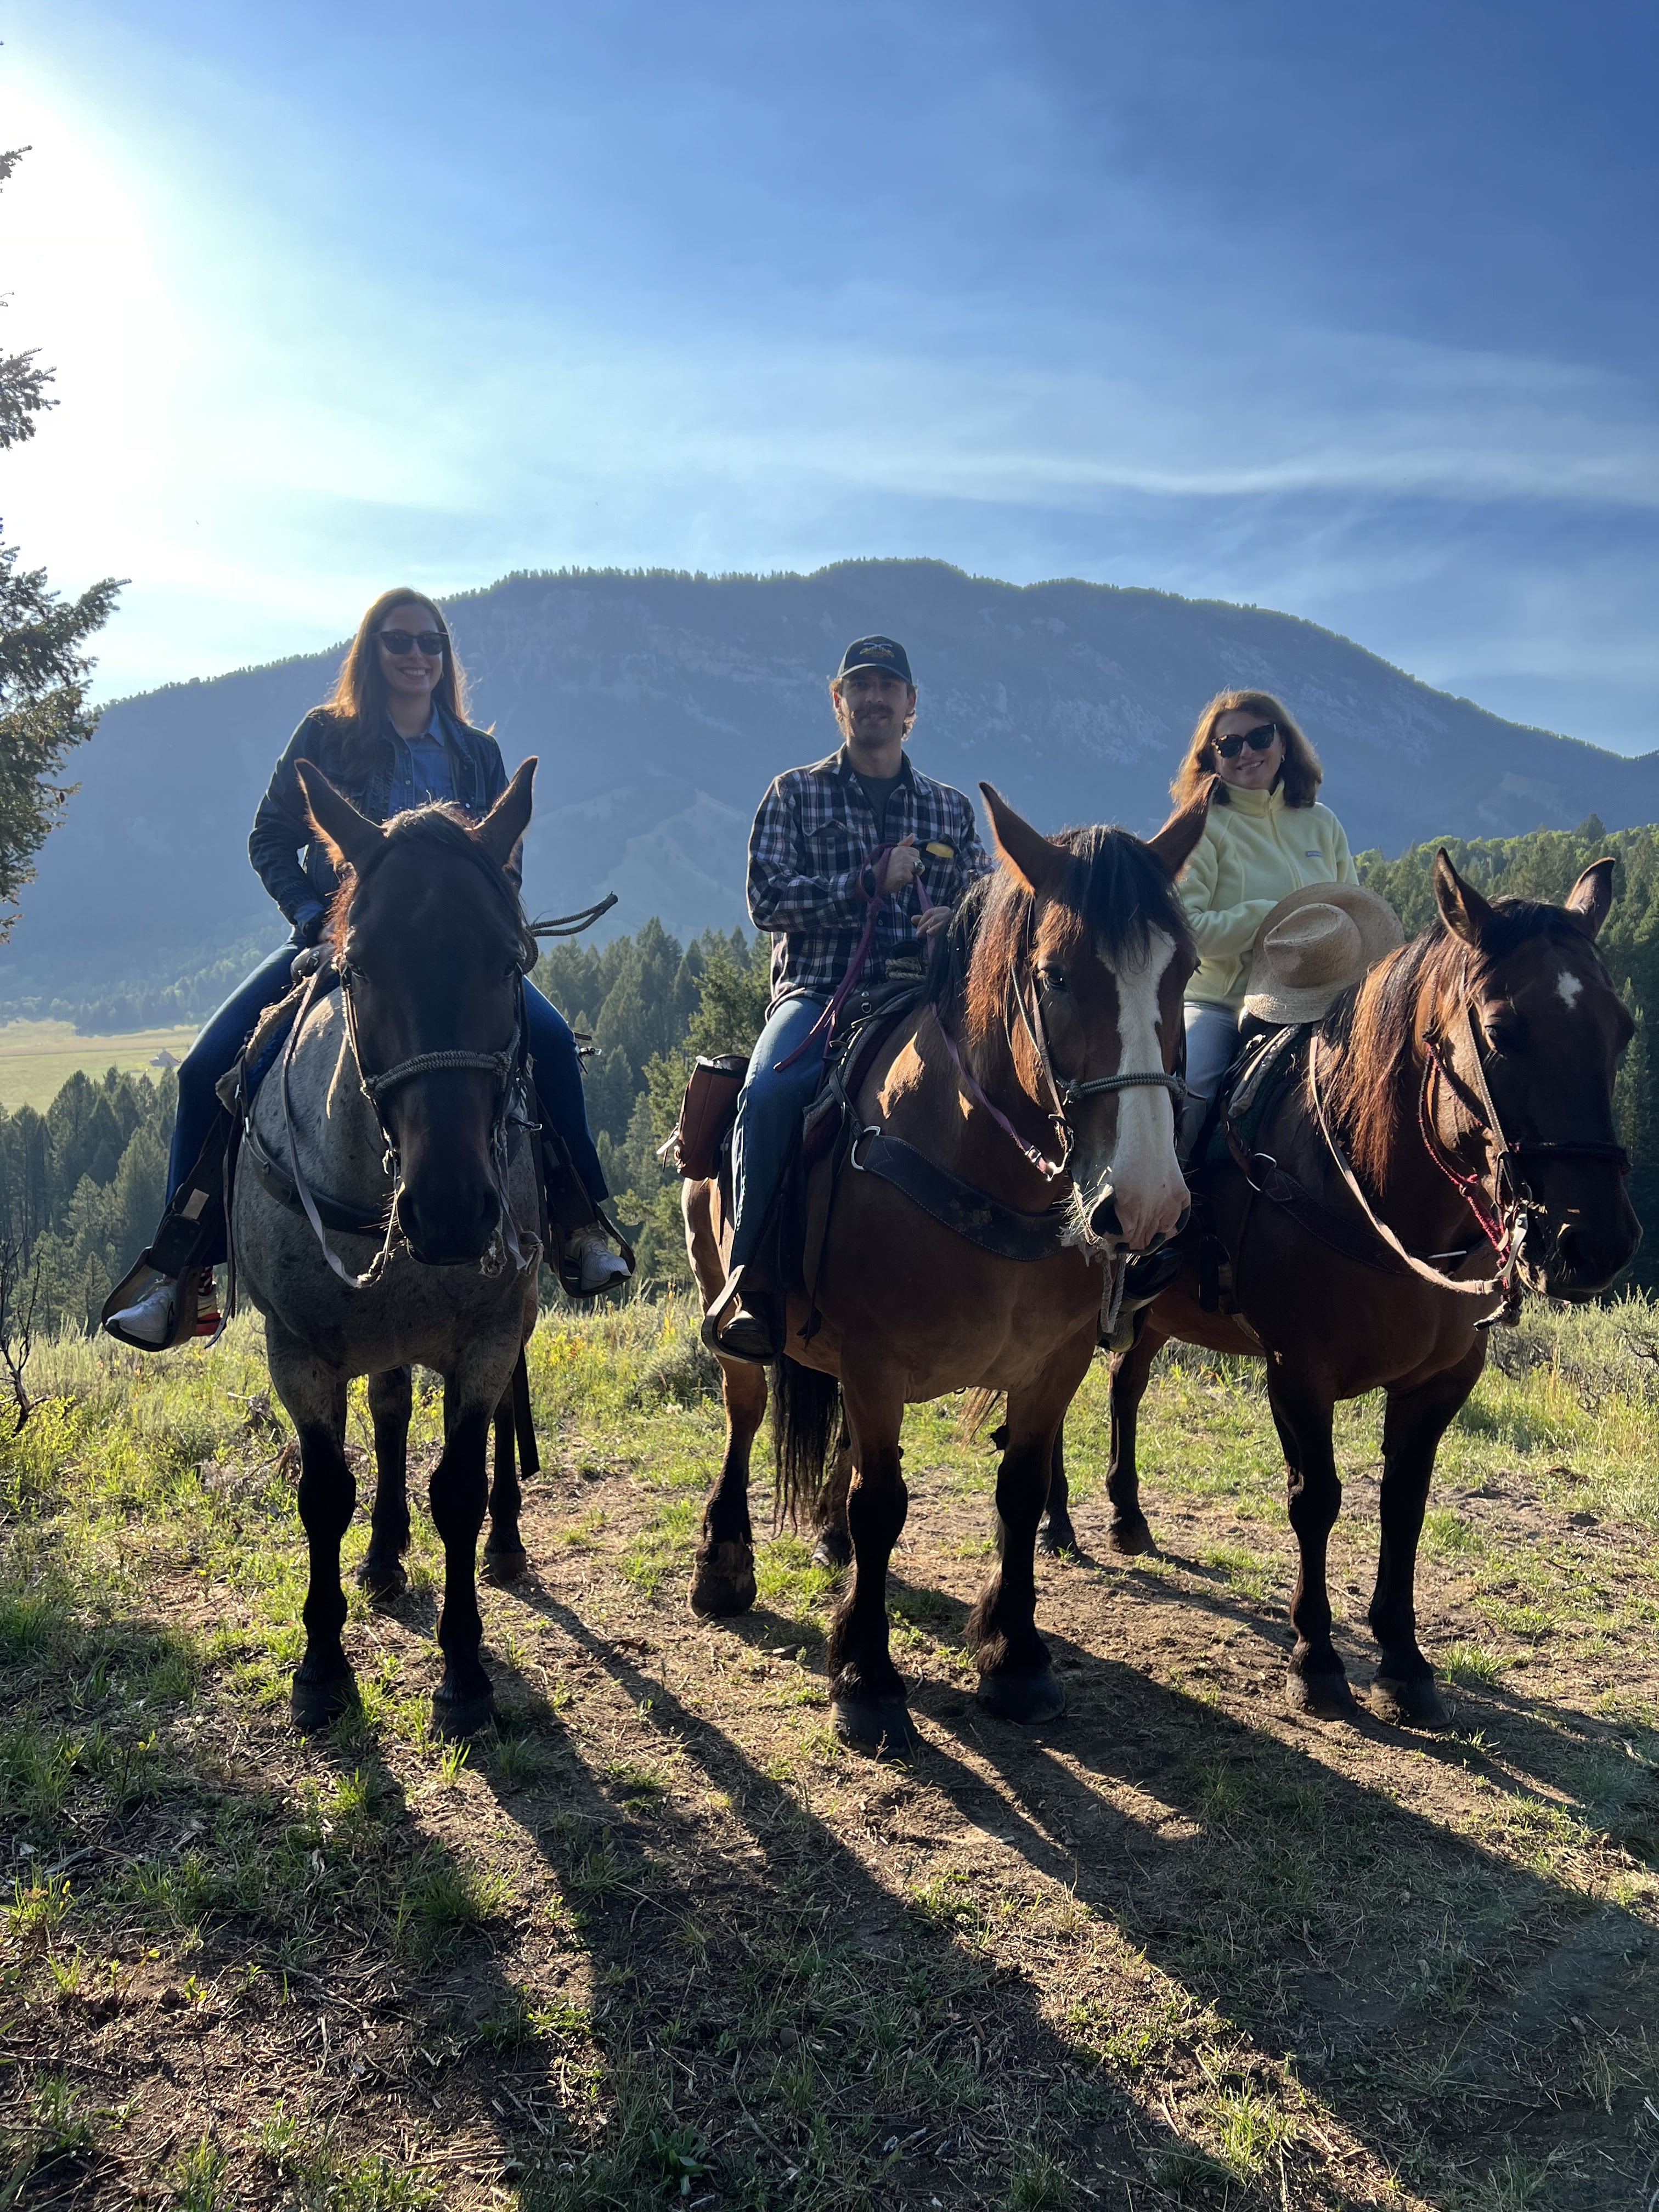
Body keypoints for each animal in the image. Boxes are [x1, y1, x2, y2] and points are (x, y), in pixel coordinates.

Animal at [685, 787, 1212, 1752]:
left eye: (1183, 970)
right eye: (1056, 976)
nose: (1148, 1202)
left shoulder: (1054, 1363)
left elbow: (1018, 1492)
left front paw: (1014, 1656)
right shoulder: (876, 1359)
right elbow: (884, 1504)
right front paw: (865, 1675)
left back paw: (830, 1543)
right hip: (727, 1301)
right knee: (745, 1417)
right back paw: (724, 1562)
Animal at [1053, 845, 1654, 1725]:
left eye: (1623, 1029)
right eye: (1503, 1031)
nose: (1594, 1243)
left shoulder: (1443, 1380)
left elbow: (1404, 1506)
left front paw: (1404, 1661)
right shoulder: (1297, 1371)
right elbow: (1318, 1498)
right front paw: (1317, 1656)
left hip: (1158, 1315)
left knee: (1125, 1386)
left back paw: (1127, 1517)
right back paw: (1055, 1521)